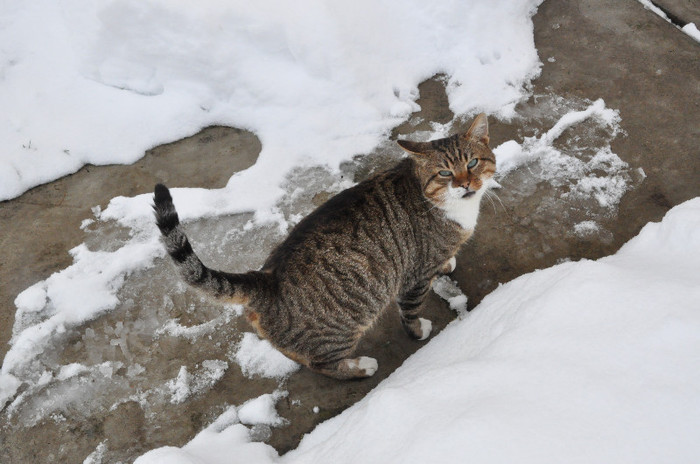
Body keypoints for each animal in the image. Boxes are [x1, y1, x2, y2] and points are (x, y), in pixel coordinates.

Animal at [153, 113, 494, 380]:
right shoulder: (414, 276)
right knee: (320, 363)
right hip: (342, 327)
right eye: (445, 173)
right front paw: (419, 330)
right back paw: (359, 366)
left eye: (473, 162)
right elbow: (410, 311)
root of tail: (265, 279)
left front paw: (447, 263)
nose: (465, 184)